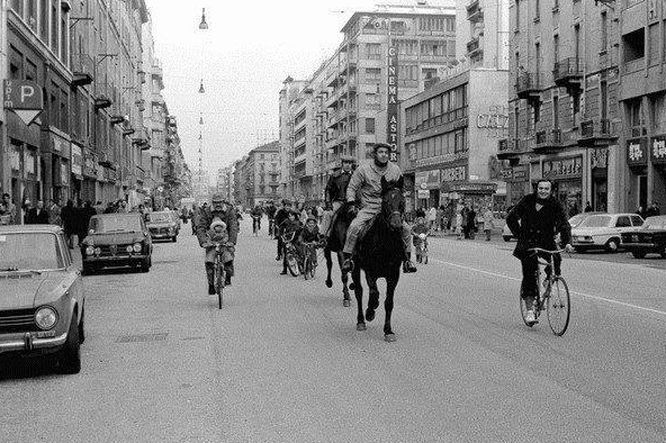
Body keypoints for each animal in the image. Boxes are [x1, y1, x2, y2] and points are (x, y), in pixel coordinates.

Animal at [348, 177, 404, 344]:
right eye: (385, 201)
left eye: (403, 201)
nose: (396, 225)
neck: (385, 242)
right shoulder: (370, 271)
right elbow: (373, 293)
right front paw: (370, 312)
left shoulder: (394, 274)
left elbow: (388, 302)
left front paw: (388, 331)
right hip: (355, 268)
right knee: (359, 292)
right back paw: (361, 320)